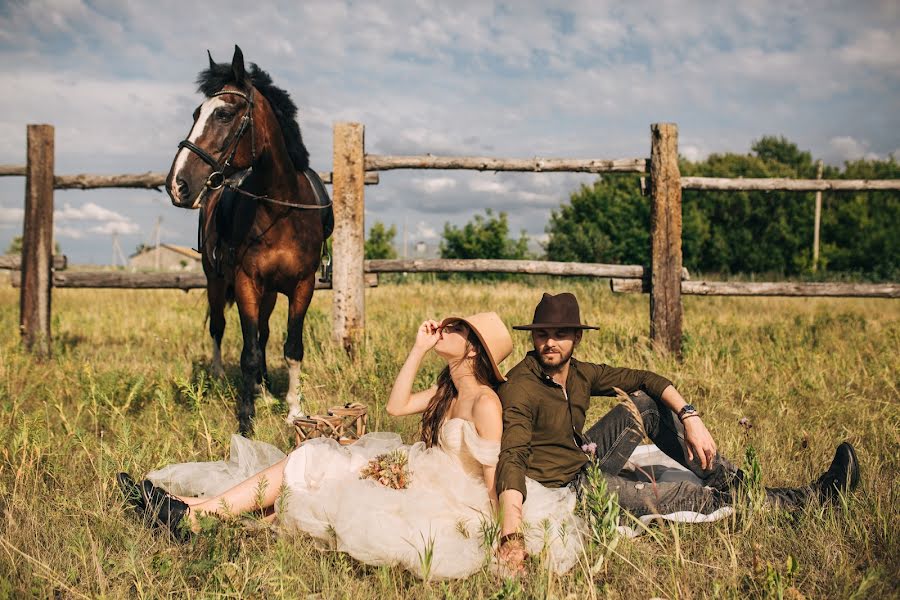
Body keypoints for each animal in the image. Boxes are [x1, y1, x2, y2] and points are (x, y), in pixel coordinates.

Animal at [164, 44, 330, 434]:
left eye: (224, 113)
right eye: (196, 113)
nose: (177, 184)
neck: (281, 209)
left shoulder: (302, 285)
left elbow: (291, 346)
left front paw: (292, 409)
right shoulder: (245, 283)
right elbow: (248, 351)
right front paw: (245, 422)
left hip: (269, 293)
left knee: (265, 333)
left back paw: (264, 391)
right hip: (215, 280)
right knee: (219, 328)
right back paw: (220, 377)